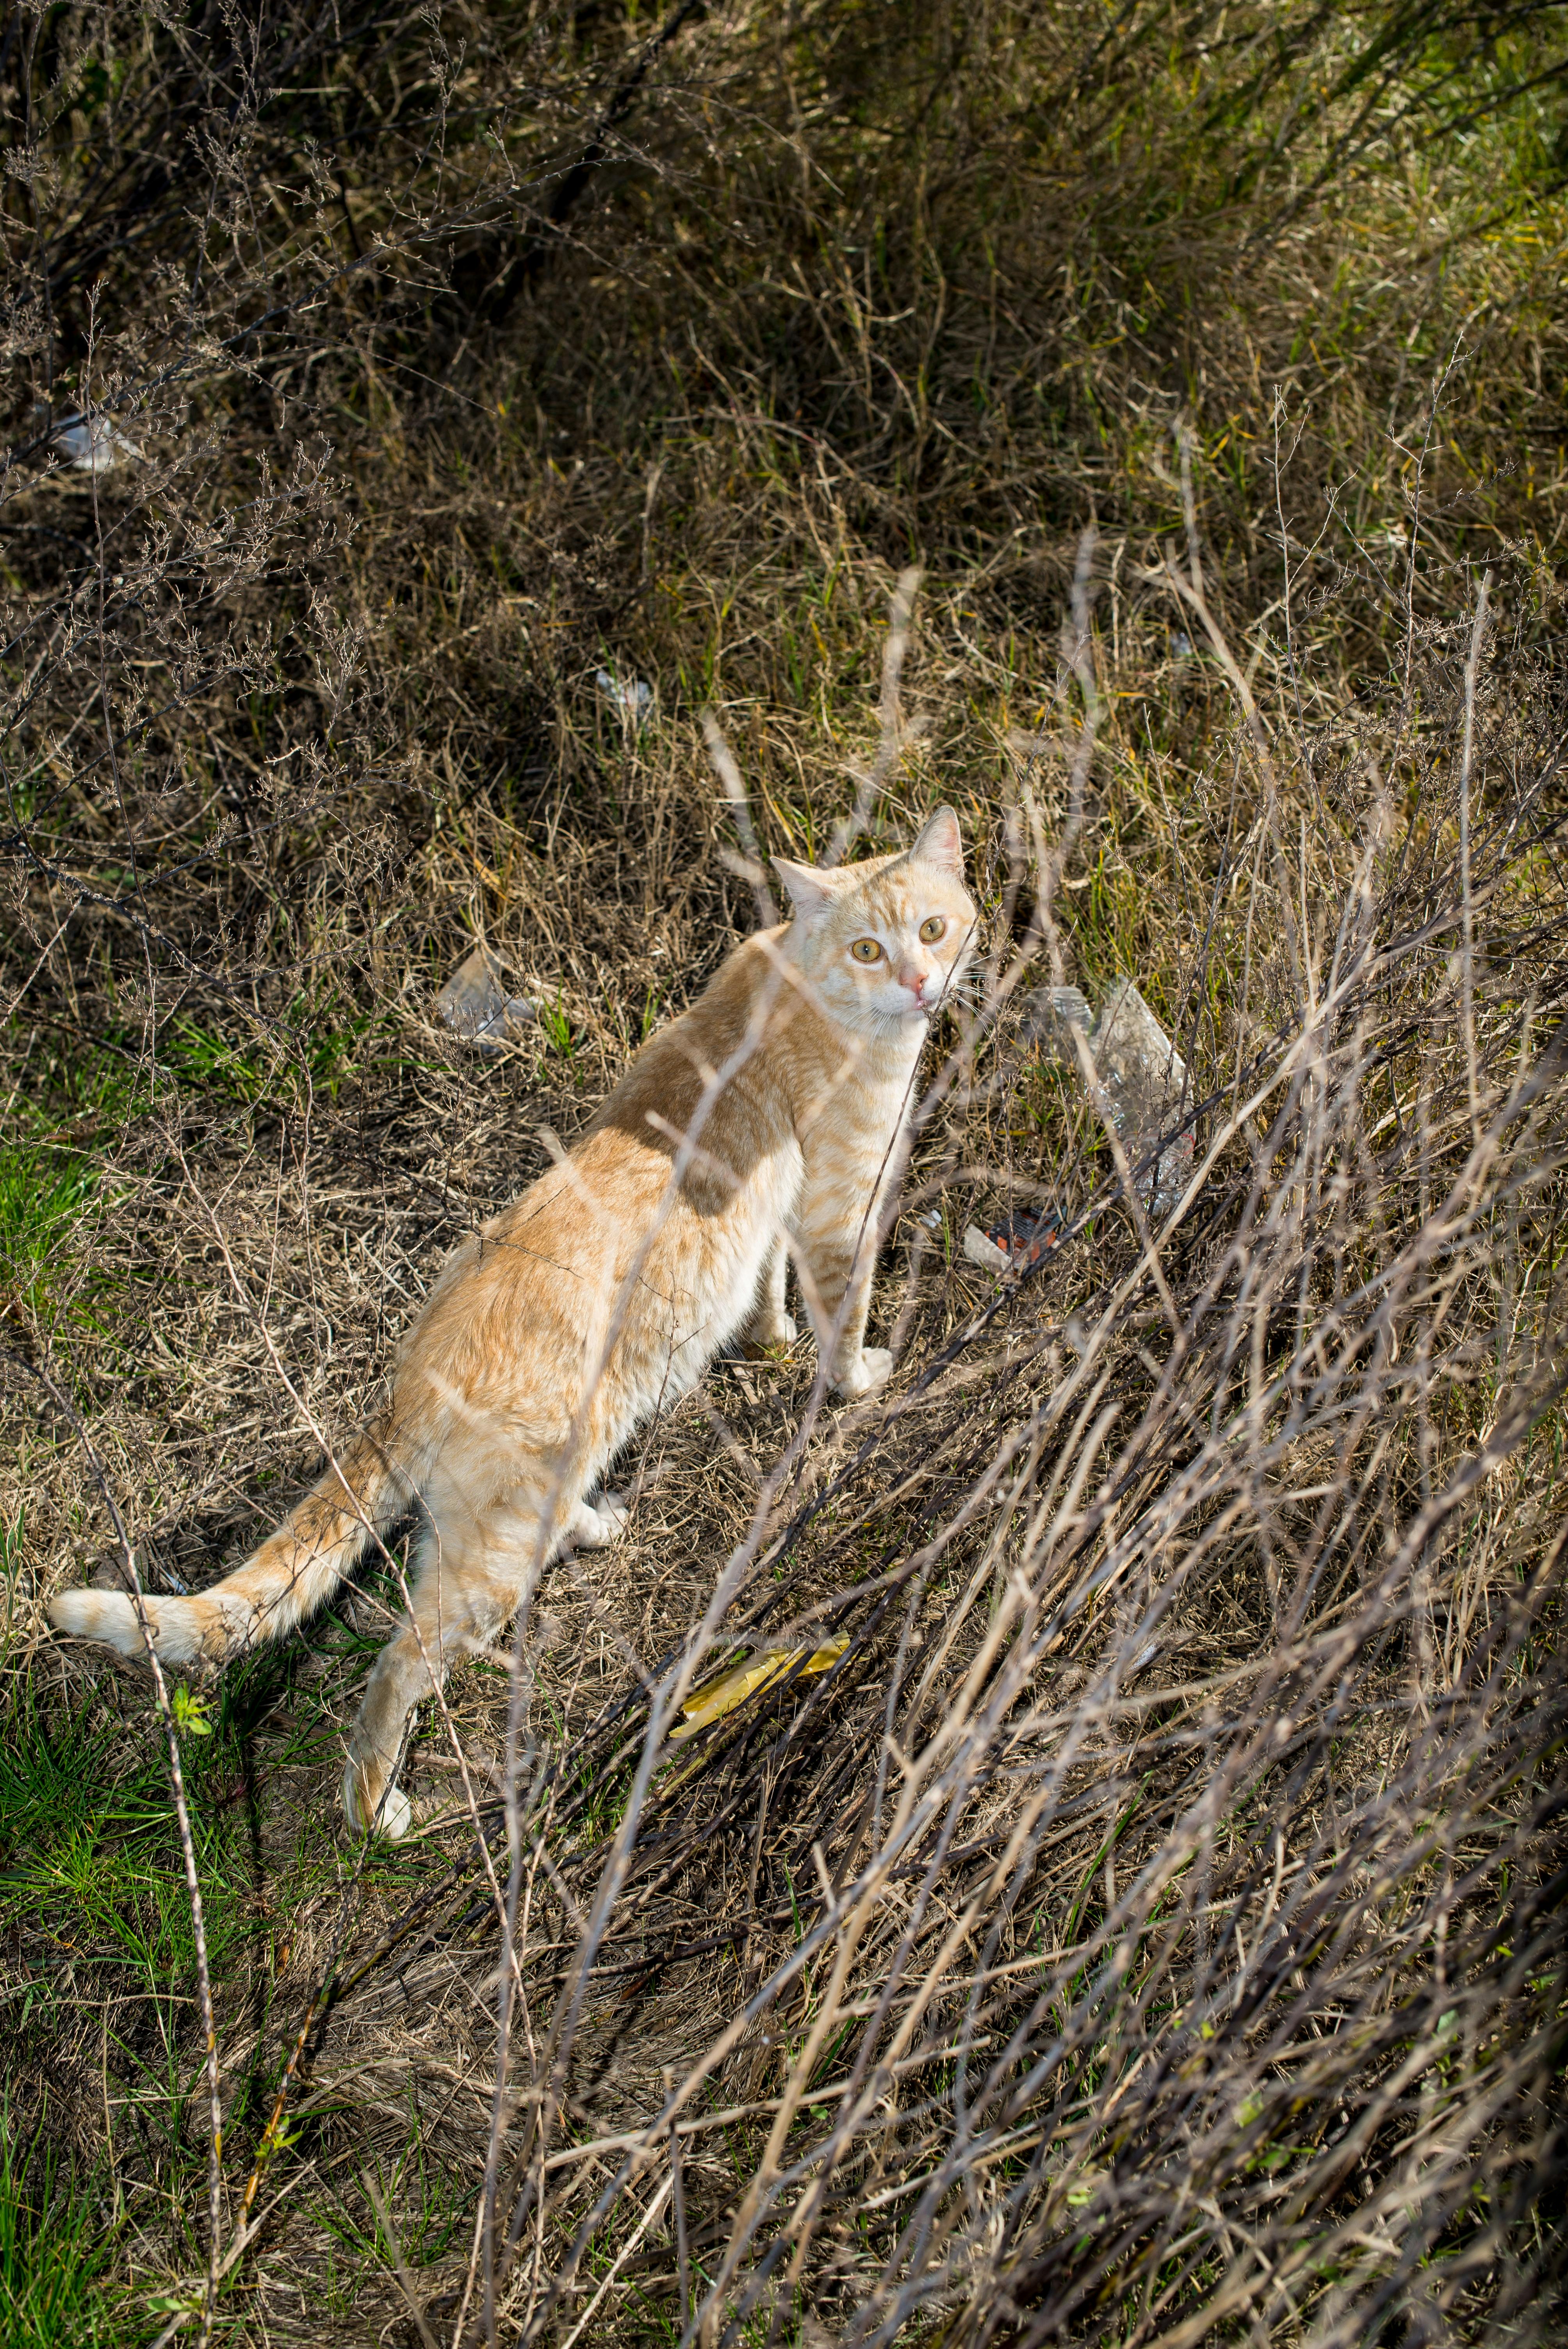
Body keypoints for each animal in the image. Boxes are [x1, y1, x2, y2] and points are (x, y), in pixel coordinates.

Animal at [55, 808, 971, 1832]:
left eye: (932, 929)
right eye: (868, 948)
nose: (919, 981)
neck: (807, 985)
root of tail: (411, 1374)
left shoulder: (781, 1212)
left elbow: (768, 1287)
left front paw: (769, 1340)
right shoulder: (838, 1211)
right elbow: (841, 1317)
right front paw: (855, 1379)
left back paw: (597, 1522)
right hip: (490, 1559)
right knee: (398, 1664)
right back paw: (377, 1813)